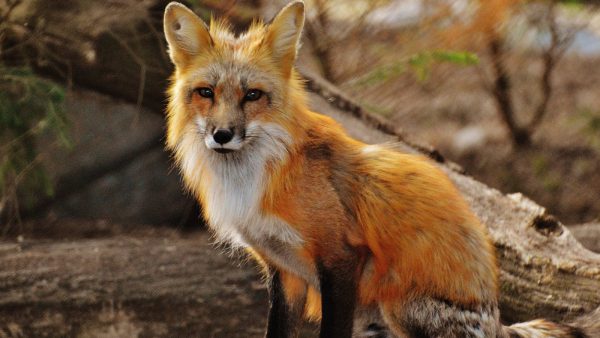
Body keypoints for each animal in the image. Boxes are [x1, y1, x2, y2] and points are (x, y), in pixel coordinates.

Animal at [162, 1, 596, 336]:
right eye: (206, 93)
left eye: (252, 95)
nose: (222, 135)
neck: (256, 176)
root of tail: (497, 320)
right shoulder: (283, 272)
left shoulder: (341, 258)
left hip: (397, 306)